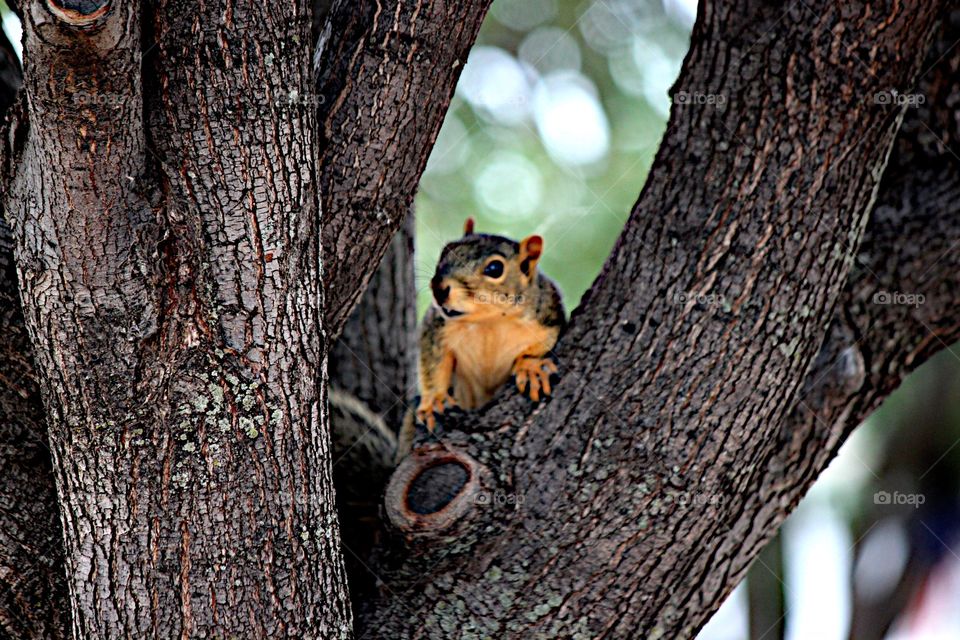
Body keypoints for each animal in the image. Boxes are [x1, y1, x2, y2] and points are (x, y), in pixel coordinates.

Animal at [396, 219, 564, 456]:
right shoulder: (436, 326)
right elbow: (433, 363)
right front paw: (434, 400)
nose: (439, 288)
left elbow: (542, 344)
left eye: (495, 268)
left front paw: (530, 368)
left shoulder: (548, 314)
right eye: (445, 251)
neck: (489, 321)